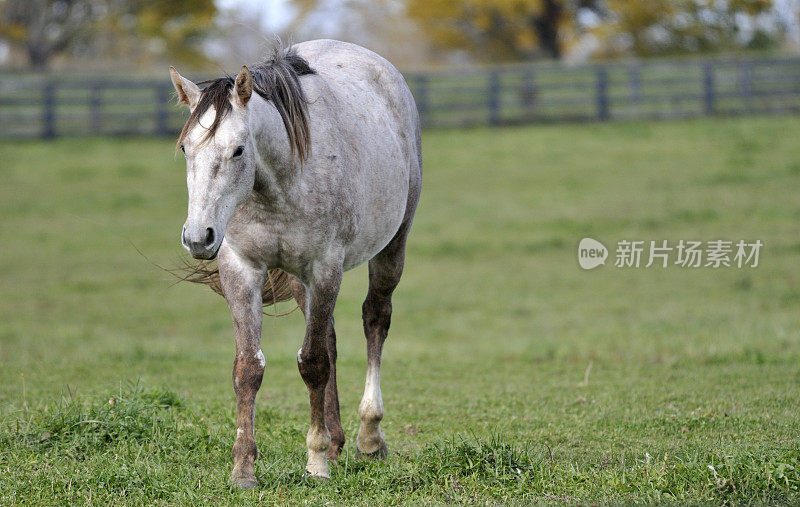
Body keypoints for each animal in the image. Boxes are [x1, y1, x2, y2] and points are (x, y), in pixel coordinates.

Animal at [166, 40, 422, 488]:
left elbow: (313, 363)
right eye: (185, 148)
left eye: (238, 149)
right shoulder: (242, 269)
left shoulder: (324, 269)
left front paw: (316, 461)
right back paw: (338, 440)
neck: (280, 180)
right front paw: (243, 469)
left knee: (375, 319)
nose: (199, 237)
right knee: (330, 338)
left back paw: (368, 437)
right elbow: (250, 367)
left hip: (392, 246)